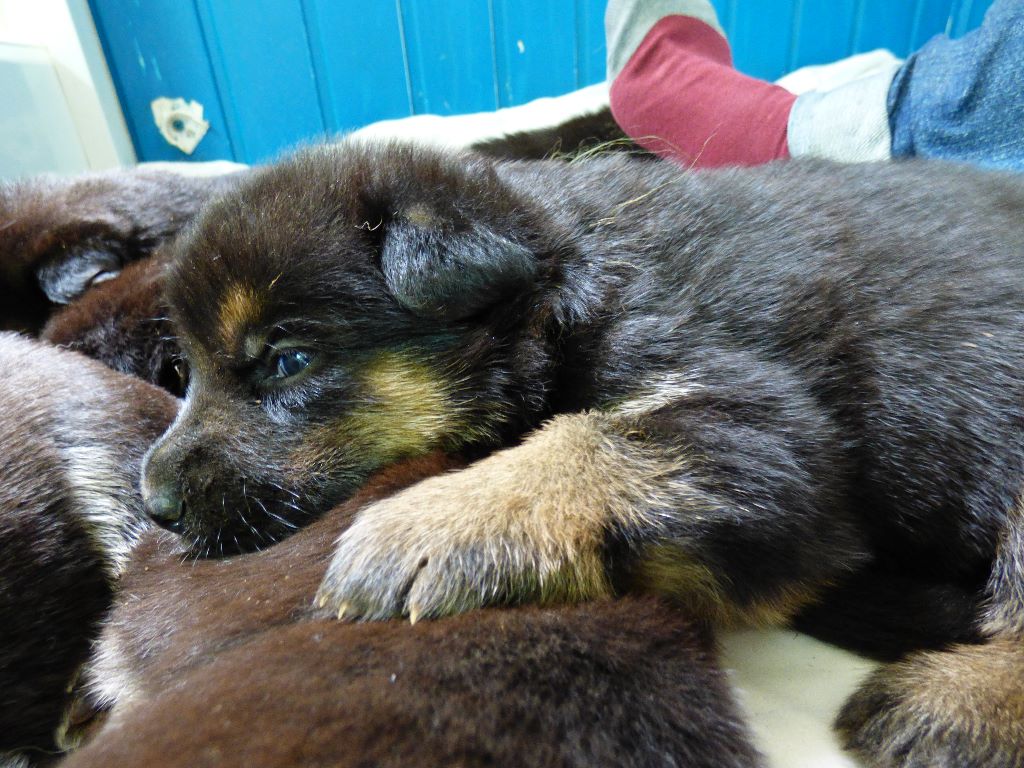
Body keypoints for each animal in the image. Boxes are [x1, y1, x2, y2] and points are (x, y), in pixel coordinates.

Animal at [144, 143, 1024, 765]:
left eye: (287, 361)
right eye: (184, 370)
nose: (153, 504)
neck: (554, 286)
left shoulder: (772, 433)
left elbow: (585, 438)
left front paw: (429, 522)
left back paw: (951, 701)